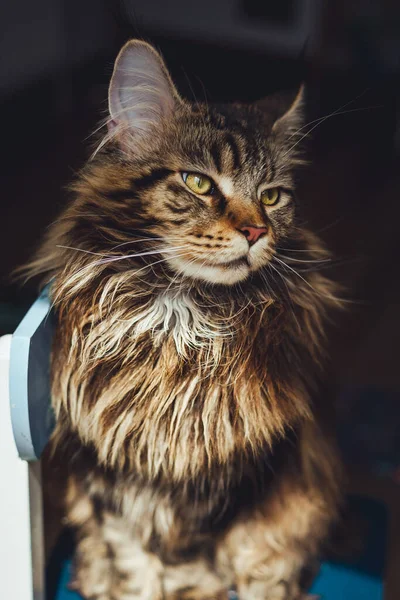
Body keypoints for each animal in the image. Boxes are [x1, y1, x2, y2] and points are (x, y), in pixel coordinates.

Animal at [26, 39, 342, 596]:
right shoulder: (109, 469)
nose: (257, 232)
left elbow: (186, 561)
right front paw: (131, 587)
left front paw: (189, 590)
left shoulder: (222, 478)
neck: (179, 315)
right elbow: (130, 554)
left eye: (271, 196)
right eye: (198, 183)